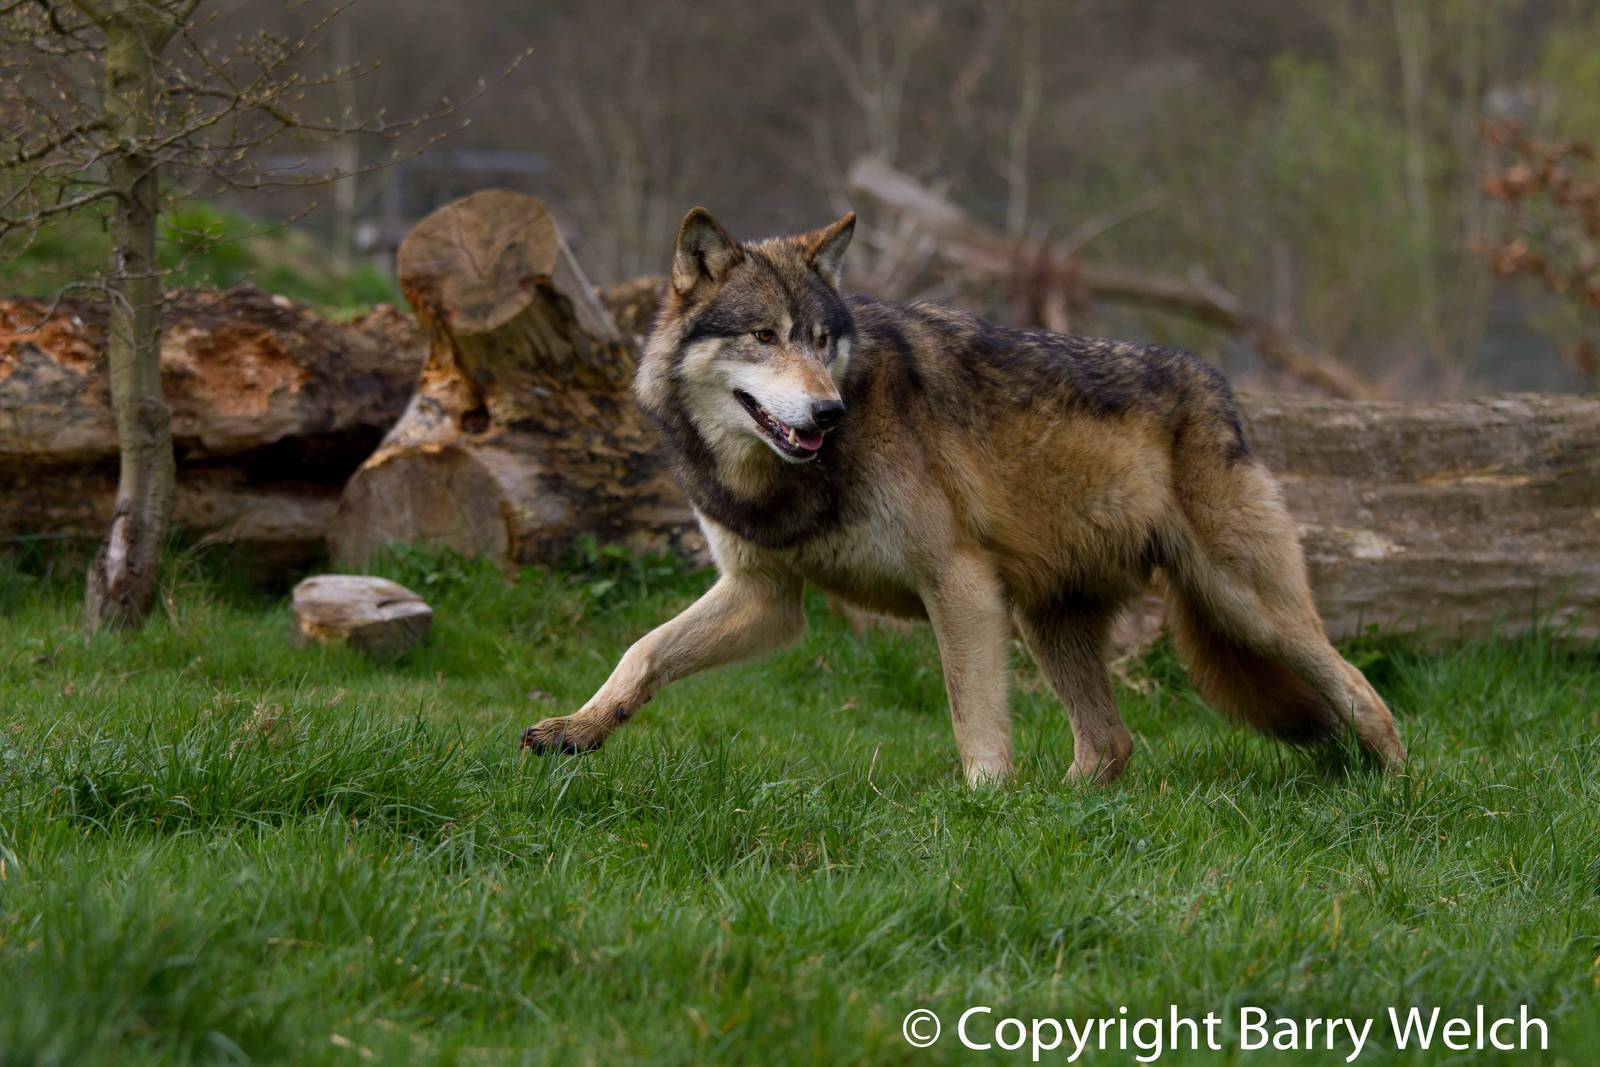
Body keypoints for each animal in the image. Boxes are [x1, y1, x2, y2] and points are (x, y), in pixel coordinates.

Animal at [519, 207, 1406, 786]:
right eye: (763, 336)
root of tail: (1219, 388)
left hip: (1246, 608)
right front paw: (576, 729)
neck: (780, 476)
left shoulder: (960, 582)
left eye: (820, 340)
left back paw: (1394, 787)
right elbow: (642, 652)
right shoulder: (764, 595)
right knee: (1111, 744)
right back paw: (1067, 805)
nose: (828, 412)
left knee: (1366, 695)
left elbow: (970, 715)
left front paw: (985, 807)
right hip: (1051, 625)